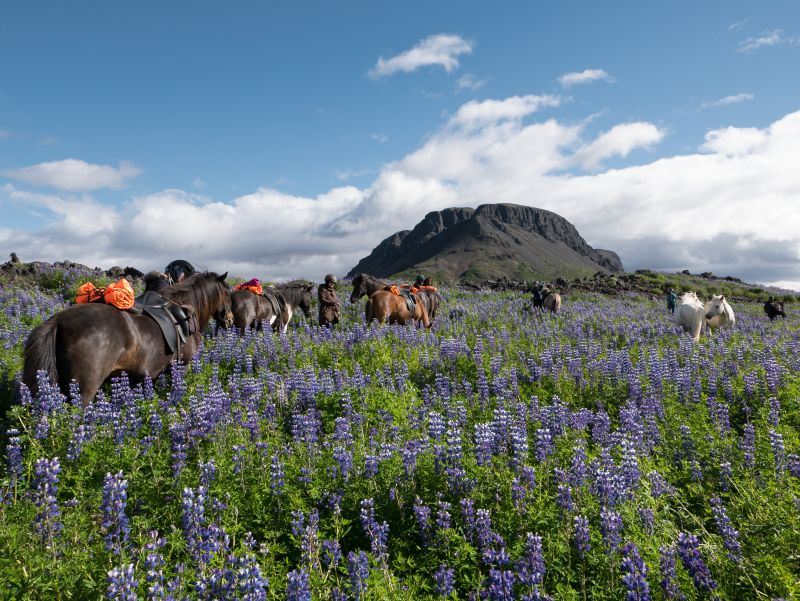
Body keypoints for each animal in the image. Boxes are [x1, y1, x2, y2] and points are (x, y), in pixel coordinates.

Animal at [21, 274, 231, 408]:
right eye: (228, 293)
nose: (229, 320)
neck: (185, 310)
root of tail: (58, 320)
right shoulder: (182, 366)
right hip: (84, 388)